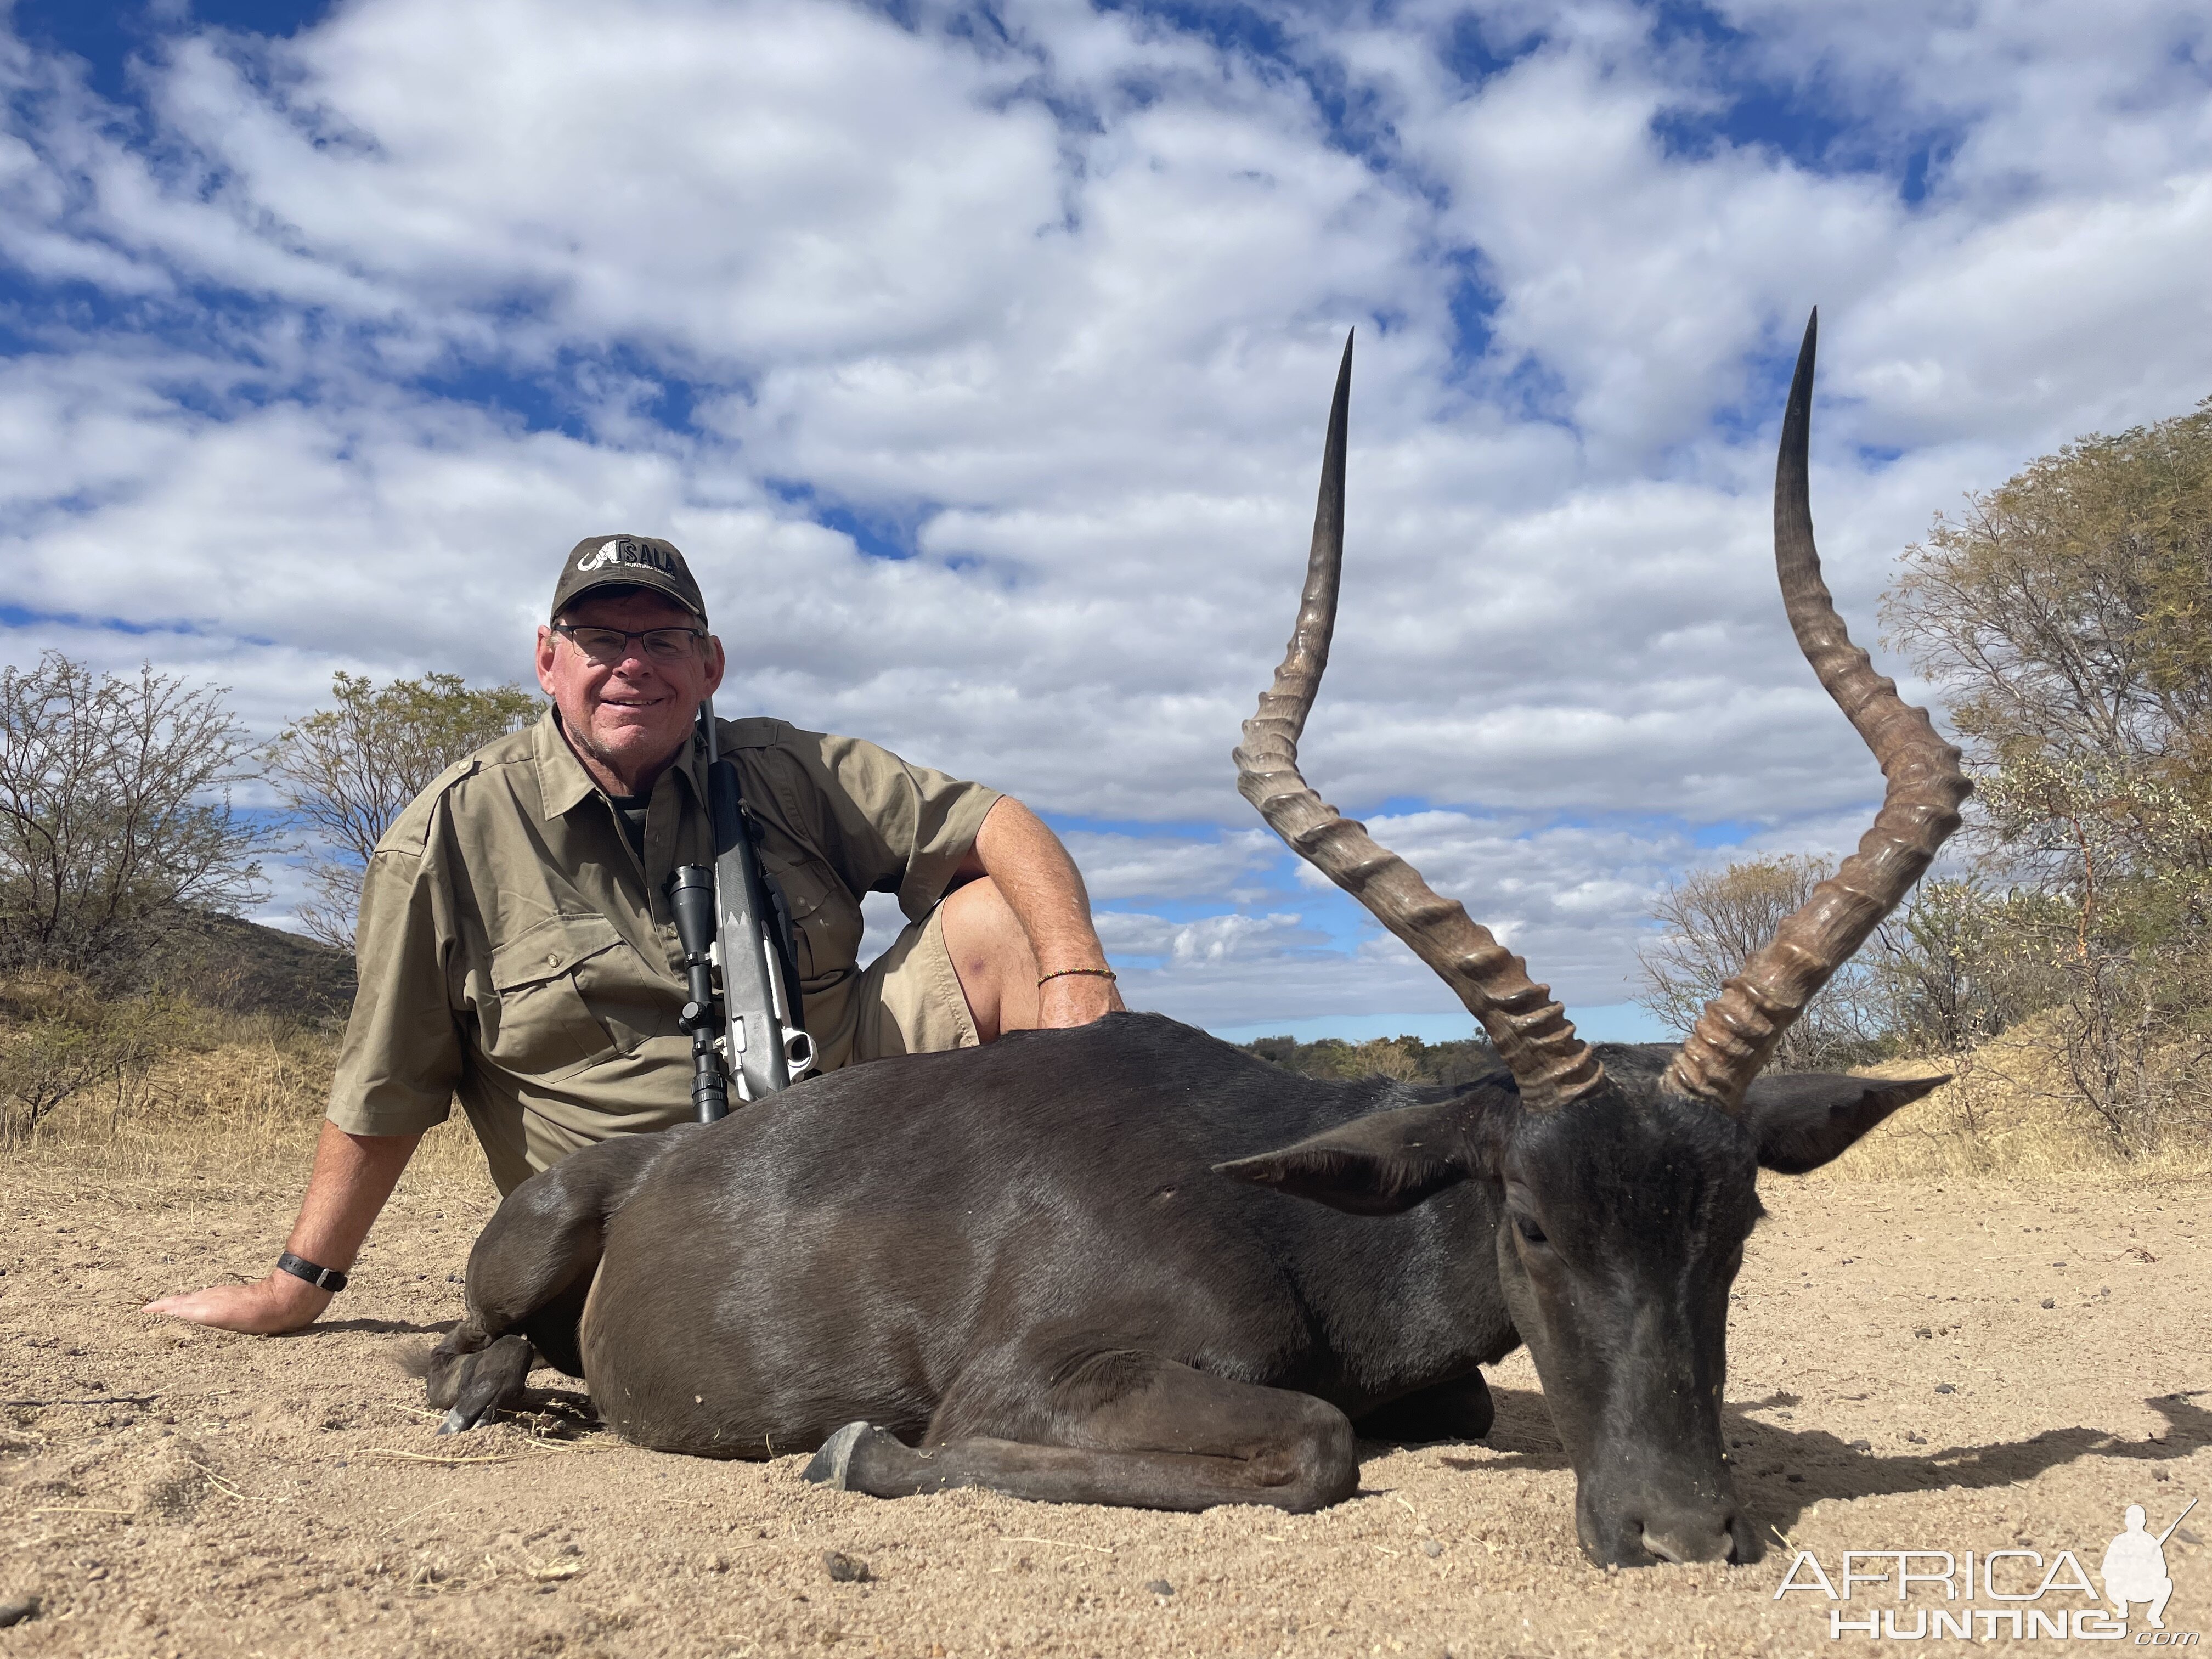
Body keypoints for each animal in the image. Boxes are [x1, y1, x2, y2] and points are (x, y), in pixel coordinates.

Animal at [436, 314, 1973, 1575]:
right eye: (1533, 1219)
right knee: (474, 1350)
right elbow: (1312, 1443)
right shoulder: (1039, 1379)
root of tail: (640, 1168)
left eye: (1737, 1220)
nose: (1682, 1532)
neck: (1273, 1200)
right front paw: (859, 1446)